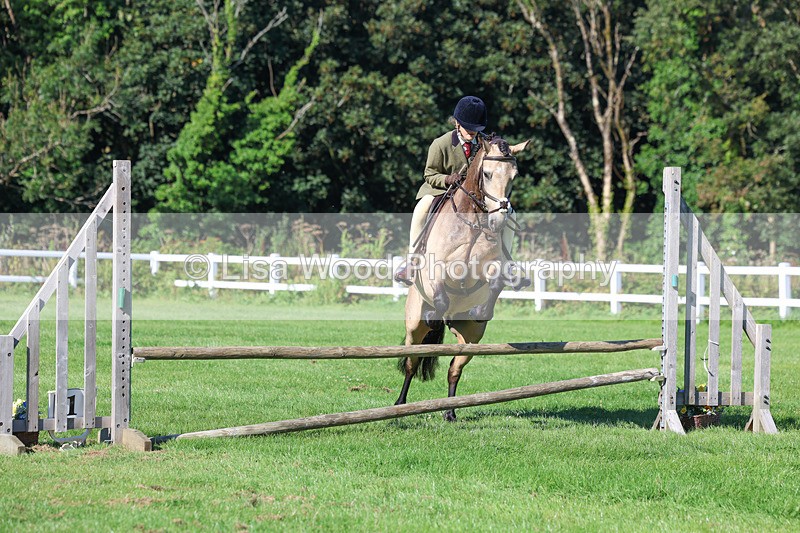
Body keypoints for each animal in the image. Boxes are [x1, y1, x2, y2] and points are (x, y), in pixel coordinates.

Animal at [395, 134, 530, 421]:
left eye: (513, 176)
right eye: (487, 174)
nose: (499, 221)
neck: (474, 220)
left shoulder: (490, 267)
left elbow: (495, 283)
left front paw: (481, 310)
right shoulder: (436, 269)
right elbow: (440, 295)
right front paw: (434, 316)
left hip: (471, 338)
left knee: (454, 368)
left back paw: (450, 412)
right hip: (413, 327)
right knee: (411, 362)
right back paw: (400, 405)